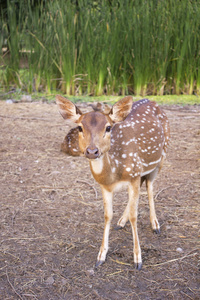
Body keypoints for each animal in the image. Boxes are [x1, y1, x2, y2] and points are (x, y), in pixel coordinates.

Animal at [55, 95, 170, 270]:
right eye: (80, 127)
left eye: (108, 127)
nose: (92, 151)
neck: (114, 173)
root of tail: (152, 101)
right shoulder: (105, 186)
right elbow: (107, 215)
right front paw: (101, 256)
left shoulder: (134, 175)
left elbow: (134, 216)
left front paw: (138, 259)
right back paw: (121, 222)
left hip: (161, 156)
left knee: (150, 186)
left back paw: (155, 225)